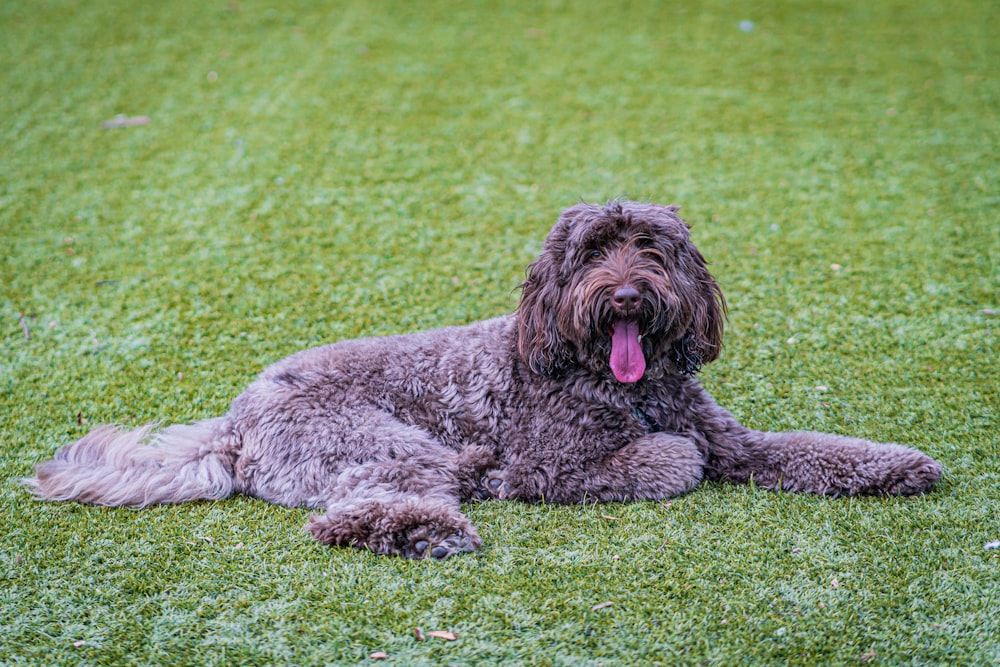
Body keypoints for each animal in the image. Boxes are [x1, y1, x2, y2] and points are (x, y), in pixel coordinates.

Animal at [25, 201, 944, 560]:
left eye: (650, 248)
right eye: (590, 252)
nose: (625, 295)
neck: (627, 383)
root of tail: (233, 421)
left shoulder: (737, 441)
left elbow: (808, 448)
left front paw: (897, 463)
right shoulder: (555, 465)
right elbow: (672, 458)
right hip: (385, 444)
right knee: (347, 515)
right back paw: (429, 528)